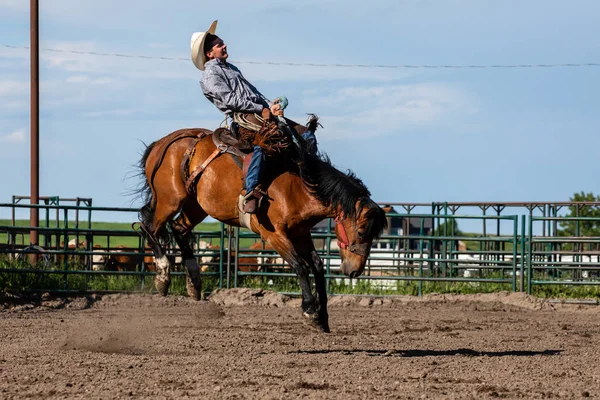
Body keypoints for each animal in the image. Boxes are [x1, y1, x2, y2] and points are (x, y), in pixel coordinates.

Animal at [135, 118, 386, 332]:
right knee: (148, 227)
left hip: (195, 205)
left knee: (178, 229)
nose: (354, 271)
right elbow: (300, 266)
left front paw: (322, 317)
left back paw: (194, 283)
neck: (300, 185)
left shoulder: (301, 234)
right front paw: (309, 311)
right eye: (361, 230)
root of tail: (163, 142)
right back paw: (163, 277)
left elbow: (316, 267)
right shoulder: (274, 235)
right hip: (170, 200)